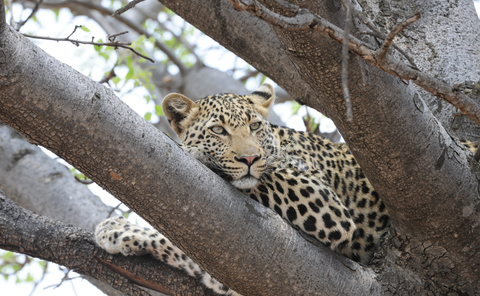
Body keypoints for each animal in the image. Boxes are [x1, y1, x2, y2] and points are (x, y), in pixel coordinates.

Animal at [96, 84, 476, 294]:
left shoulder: (323, 202)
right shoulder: (228, 273)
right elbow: (181, 248)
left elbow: (266, 177)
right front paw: (116, 230)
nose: (249, 157)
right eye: (218, 130)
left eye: (254, 125)